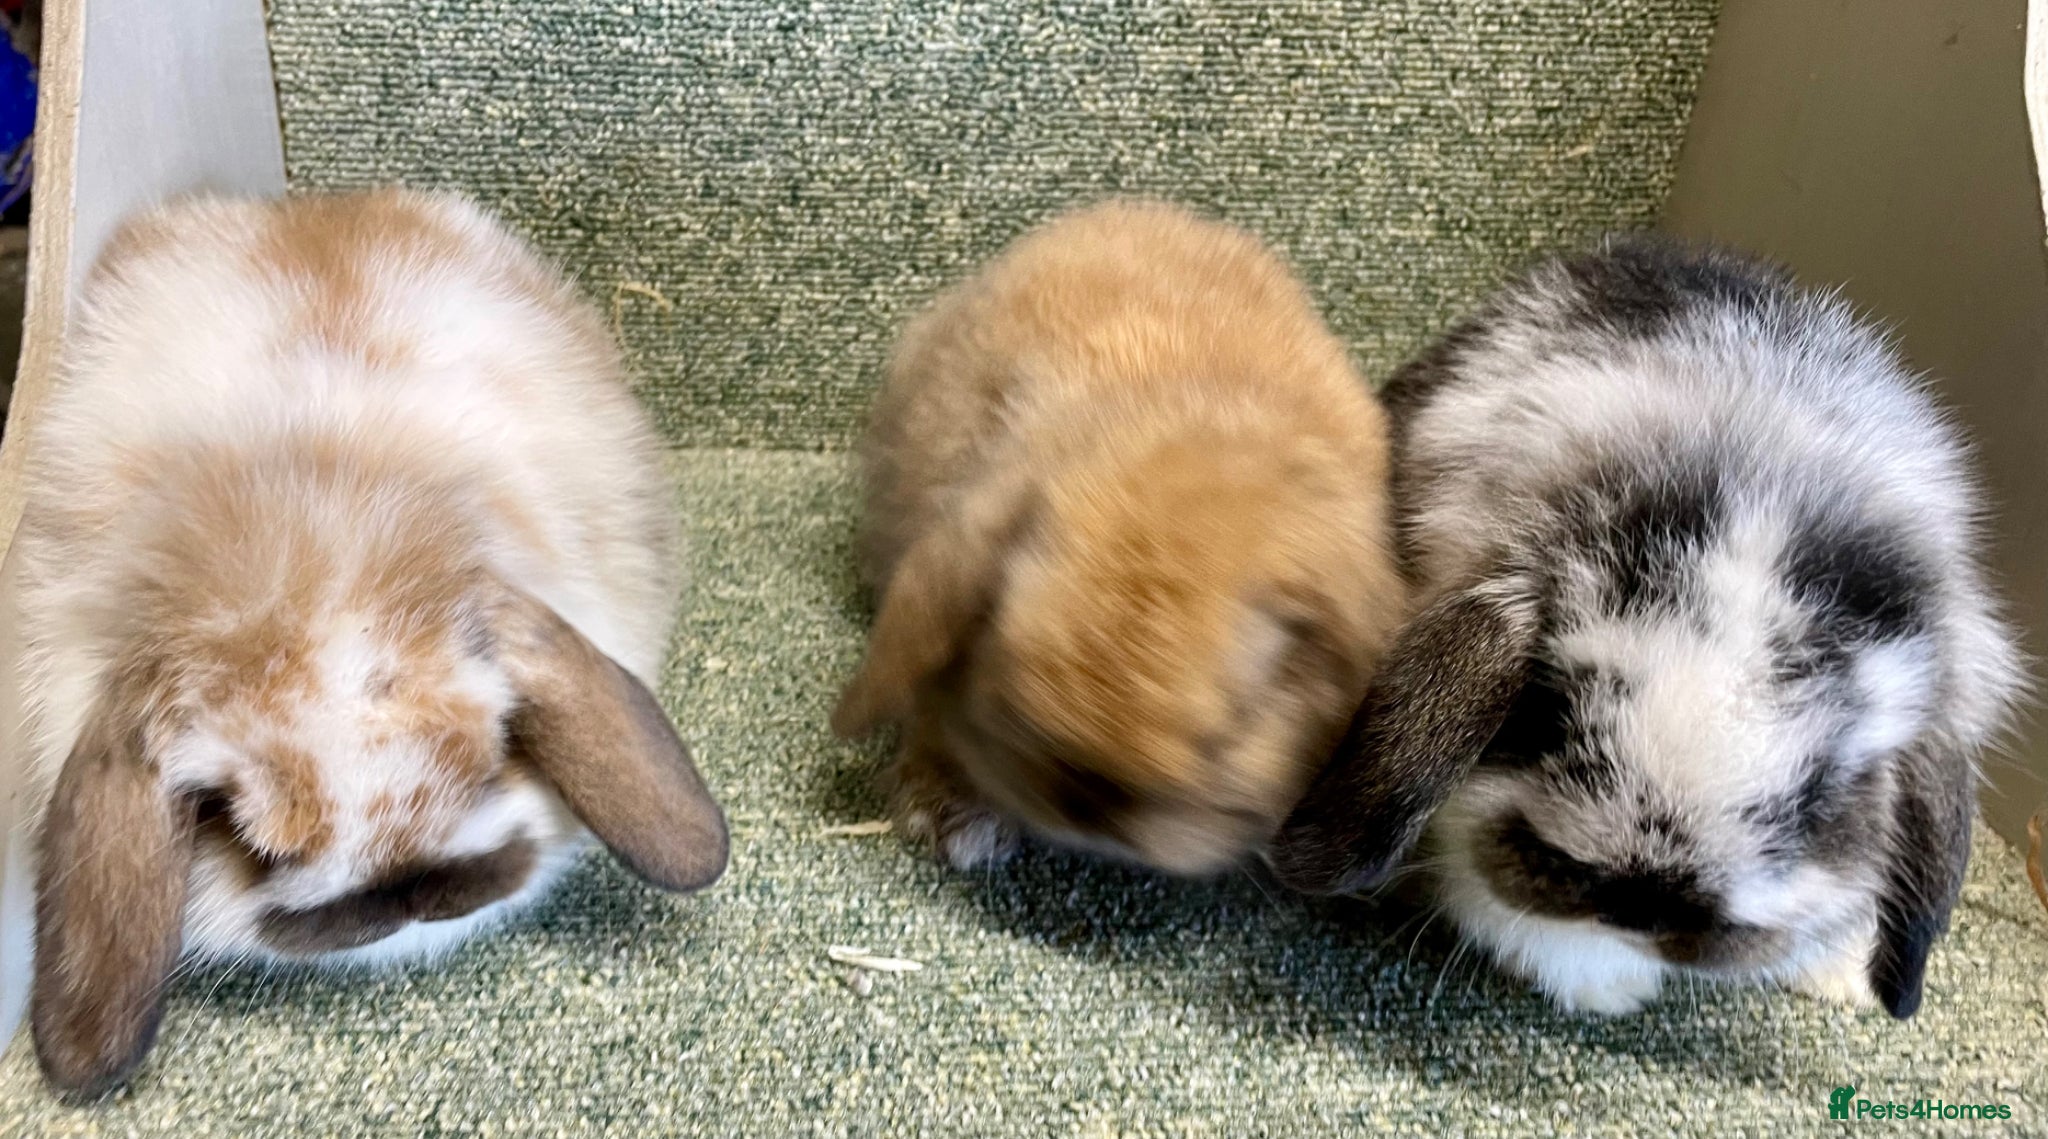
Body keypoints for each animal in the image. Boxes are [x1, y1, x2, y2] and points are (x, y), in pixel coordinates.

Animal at [1268, 233, 2024, 1020]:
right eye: (1551, 710)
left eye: (1820, 796)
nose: (1640, 902)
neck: (1753, 474)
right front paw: (1608, 987)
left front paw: (1839, 976)